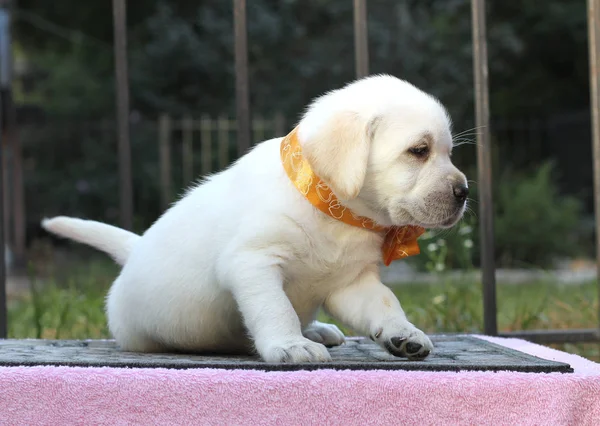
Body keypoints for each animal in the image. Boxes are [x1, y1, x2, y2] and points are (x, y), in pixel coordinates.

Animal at [44, 75, 468, 362]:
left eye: (448, 152)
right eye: (419, 150)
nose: (464, 192)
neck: (331, 210)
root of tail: (135, 250)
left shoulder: (352, 283)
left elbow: (385, 303)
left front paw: (403, 333)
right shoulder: (254, 263)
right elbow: (275, 308)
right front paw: (290, 345)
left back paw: (319, 330)